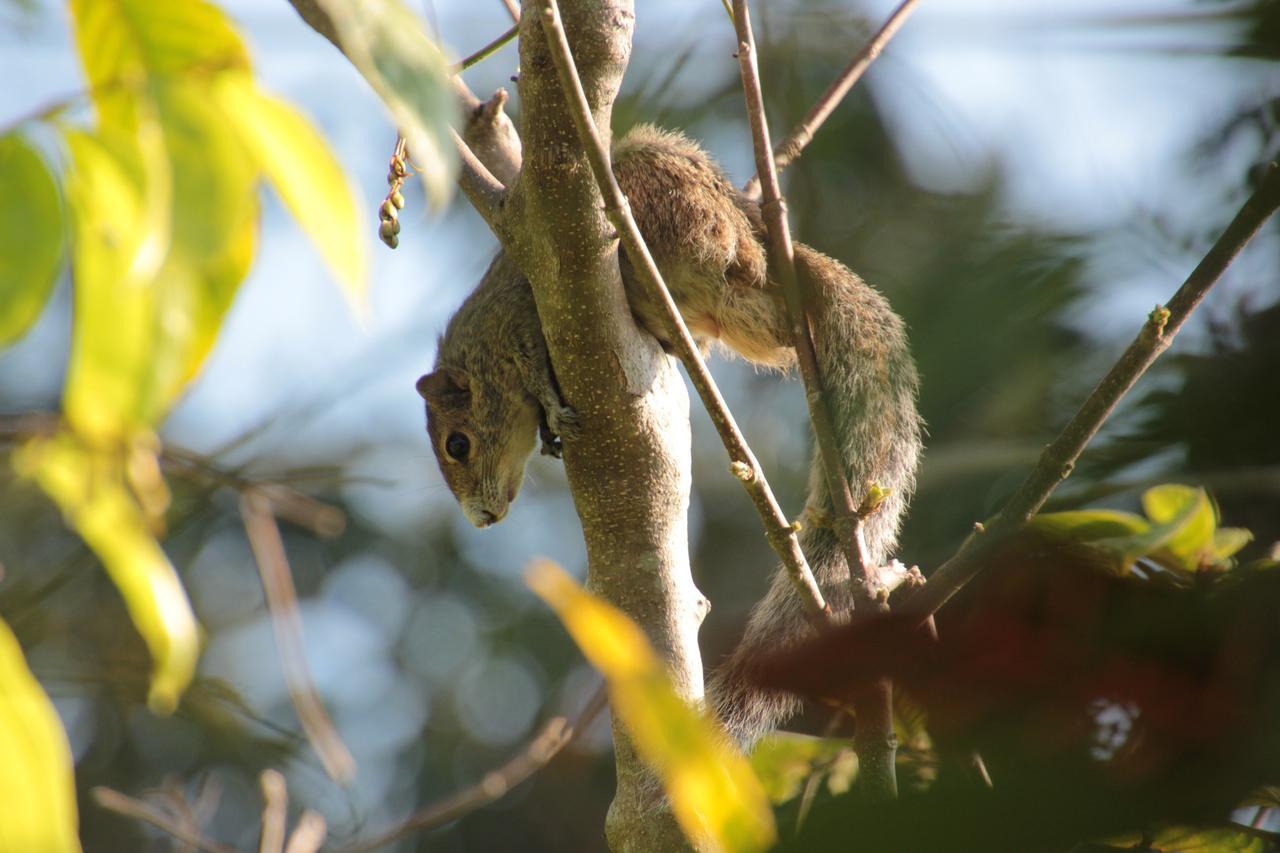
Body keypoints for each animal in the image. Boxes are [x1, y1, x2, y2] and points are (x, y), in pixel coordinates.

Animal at [419, 122, 921, 742]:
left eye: (457, 444)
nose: (481, 519)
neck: (481, 345)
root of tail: (763, 249)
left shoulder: (521, 329)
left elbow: (537, 373)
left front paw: (554, 415)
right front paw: (548, 436)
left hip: (672, 215)